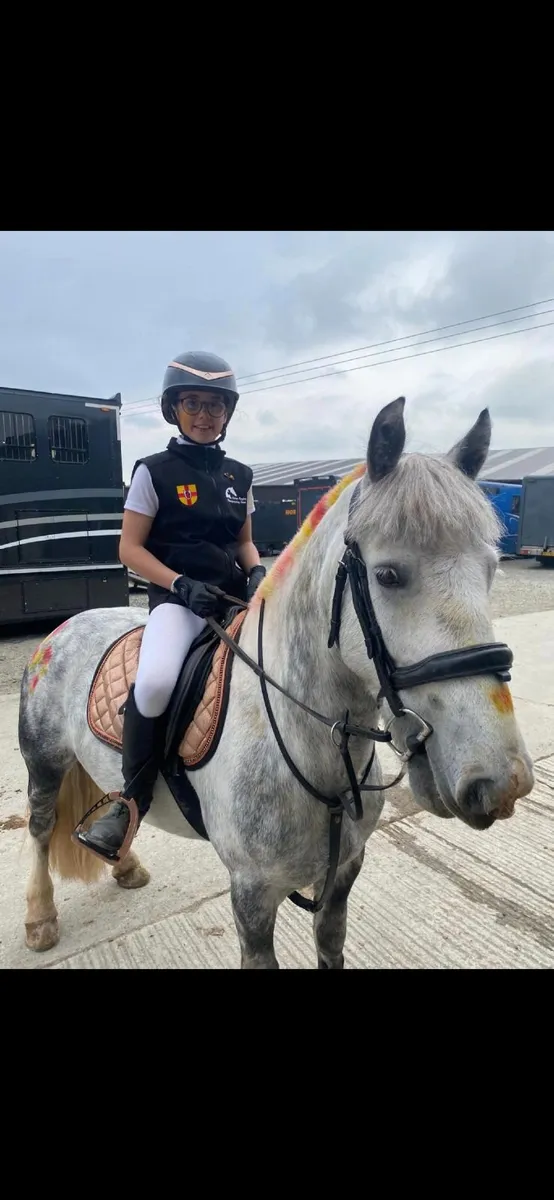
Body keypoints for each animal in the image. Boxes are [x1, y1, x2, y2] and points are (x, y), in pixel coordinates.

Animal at [18, 397, 535, 968]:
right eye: (387, 575)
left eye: (491, 569)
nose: (499, 781)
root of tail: (66, 627)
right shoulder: (252, 892)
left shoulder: (344, 872)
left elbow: (331, 944)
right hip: (45, 762)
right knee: (41, 828)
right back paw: (41, 918)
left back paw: (125, 863)